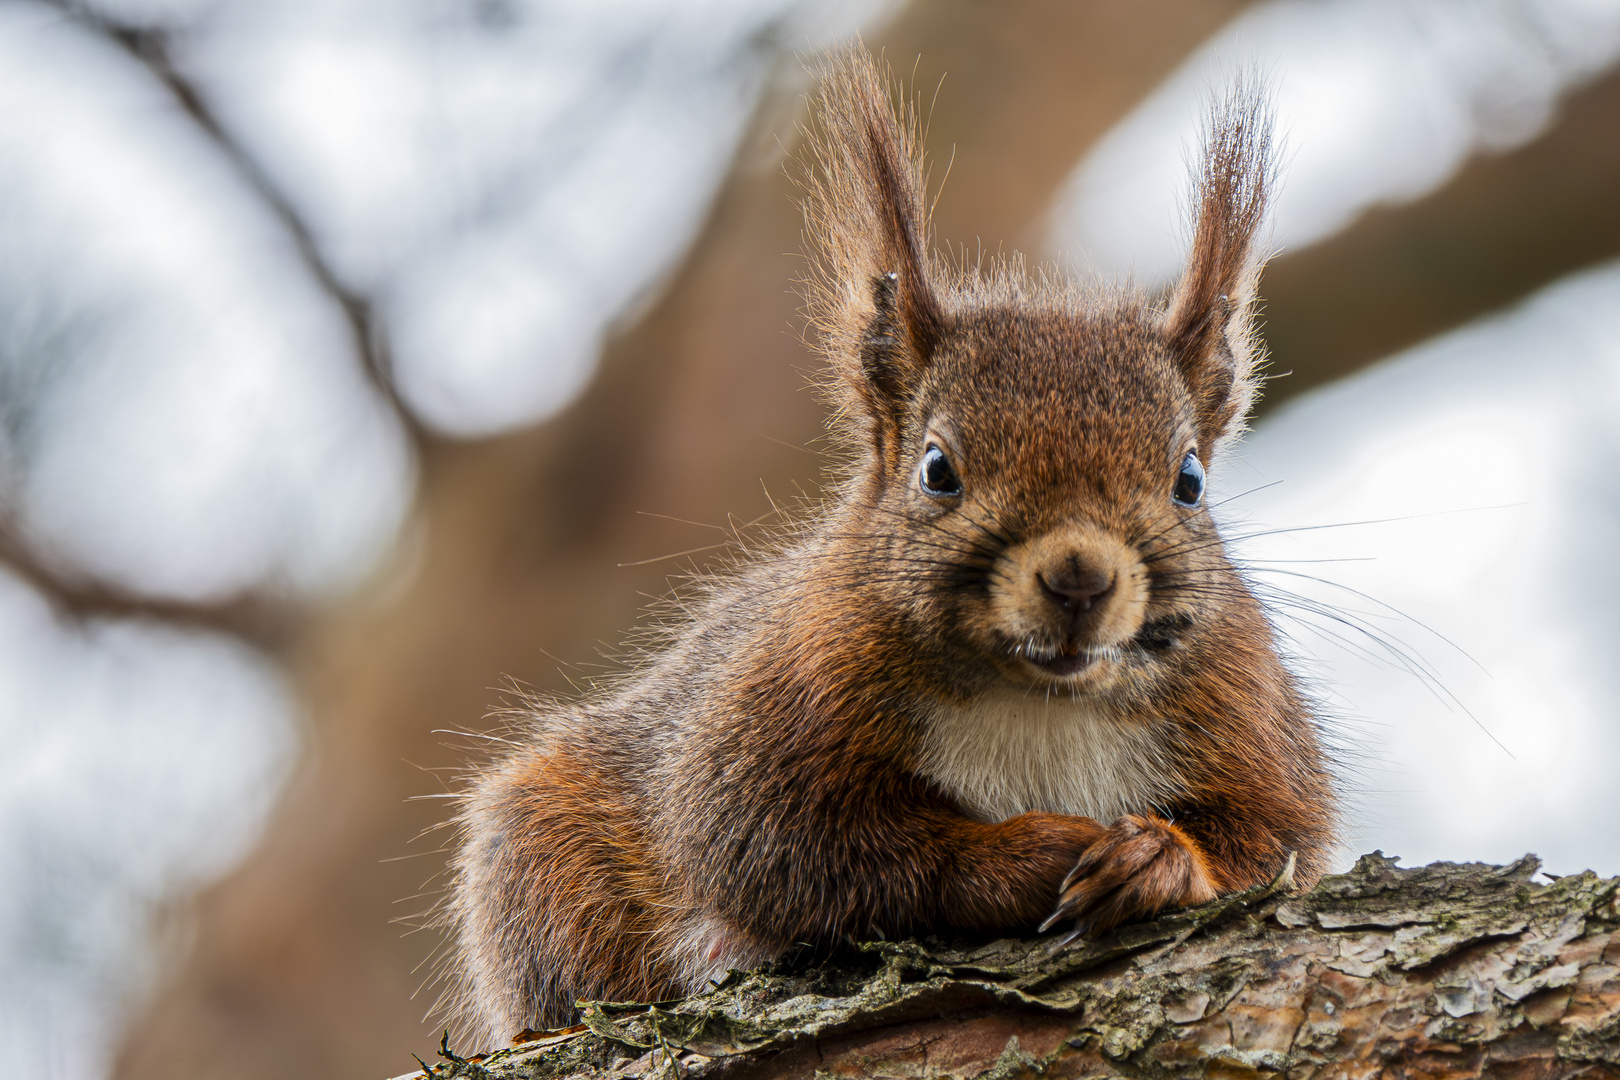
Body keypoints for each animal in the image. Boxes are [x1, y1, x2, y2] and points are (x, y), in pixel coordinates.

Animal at [450, 48, 1334, 1036]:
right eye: (937, 470)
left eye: (1190, 481)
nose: (1080, 578)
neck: (1037, 696)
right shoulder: (767, 716)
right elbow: (791, 849)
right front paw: (1026, 853)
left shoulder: (1249, 720)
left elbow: (1275, 838)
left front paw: (1157, 860)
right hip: (539, 841)